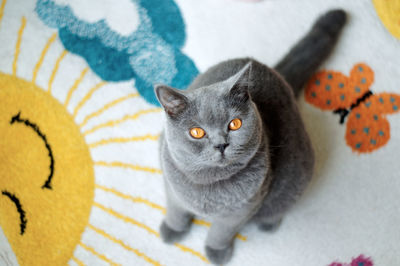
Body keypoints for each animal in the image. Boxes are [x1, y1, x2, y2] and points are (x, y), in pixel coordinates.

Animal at [155, 8, 346, 264]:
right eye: (197, 132)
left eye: (234, 124)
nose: (221, 144)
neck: (209, 186)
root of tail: (273, 70)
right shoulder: (171, 184)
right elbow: (176, 210)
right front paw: (172, 229)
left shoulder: (242, 210)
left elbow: (220, 231)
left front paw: (216, 252)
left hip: (297, 175)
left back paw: (269, 224)